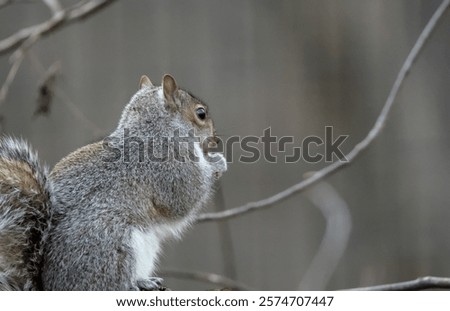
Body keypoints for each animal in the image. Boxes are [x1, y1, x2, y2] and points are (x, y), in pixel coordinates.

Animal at [0, 74, 227, 292]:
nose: (216, 139)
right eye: (201, 114)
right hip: (112, 243)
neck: (157, 129)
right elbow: (185, 198)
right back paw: (137, 283)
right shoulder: (169, 168)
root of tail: (50, 286)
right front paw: (217, 162)